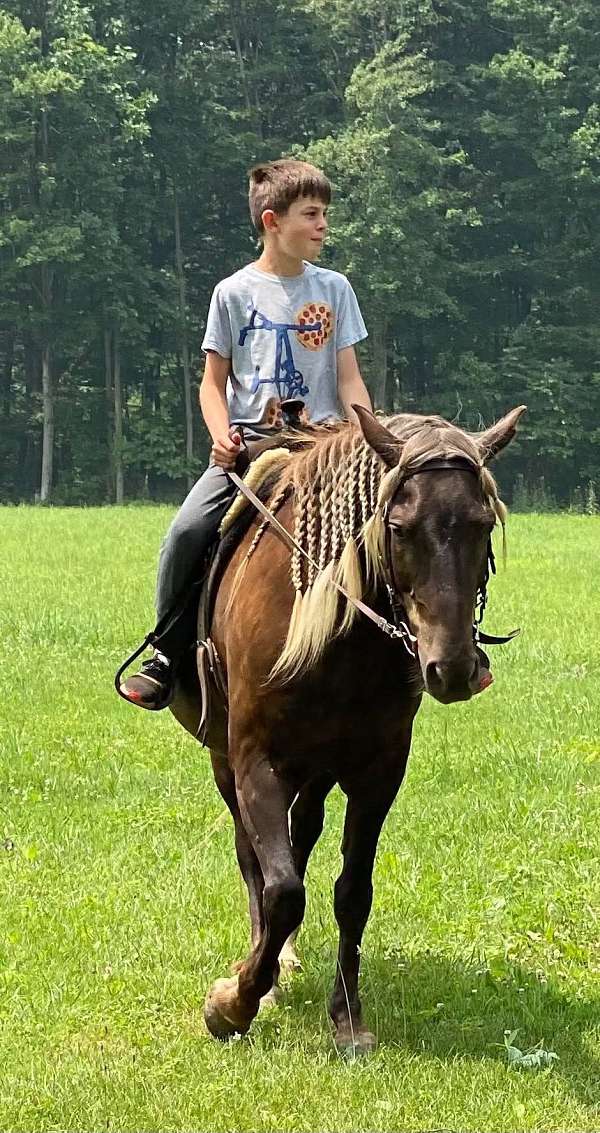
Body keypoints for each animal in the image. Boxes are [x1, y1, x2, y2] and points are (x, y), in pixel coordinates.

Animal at [167, 405, 523, 1051]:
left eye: (483, 524)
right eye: (399, 527)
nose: (453, 668)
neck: (337, 636)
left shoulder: (377, 772)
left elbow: (352, 891)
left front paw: (347, 1018)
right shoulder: (255, 761)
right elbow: (281, 889)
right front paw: (234, 1003)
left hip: (317, 770)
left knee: (301, 837)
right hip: (228, 763)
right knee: (256, 859)